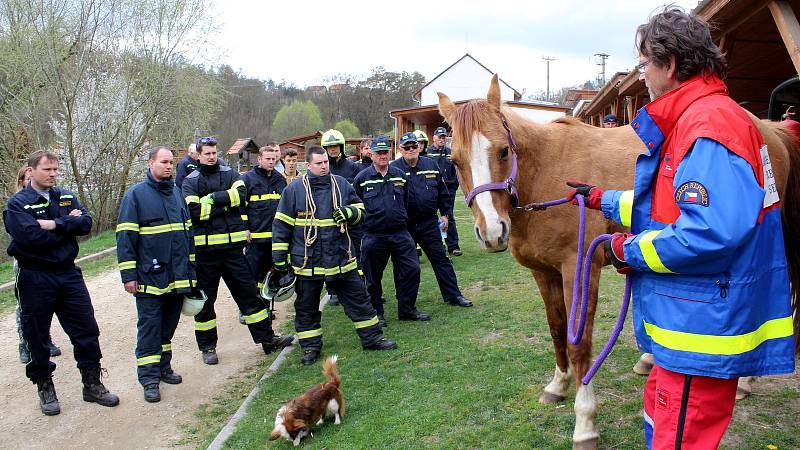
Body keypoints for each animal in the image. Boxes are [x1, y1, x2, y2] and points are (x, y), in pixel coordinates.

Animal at [438, 75, 800, 448]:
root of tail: (768, 127)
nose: (493, 231)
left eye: (503, 151)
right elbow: (557, 330)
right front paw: (557, 386)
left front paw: (585, 422)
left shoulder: (579, 270)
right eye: (455, 161)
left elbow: (579, 343)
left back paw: (745, 382)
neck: (546, 173)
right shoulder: (544, 273)